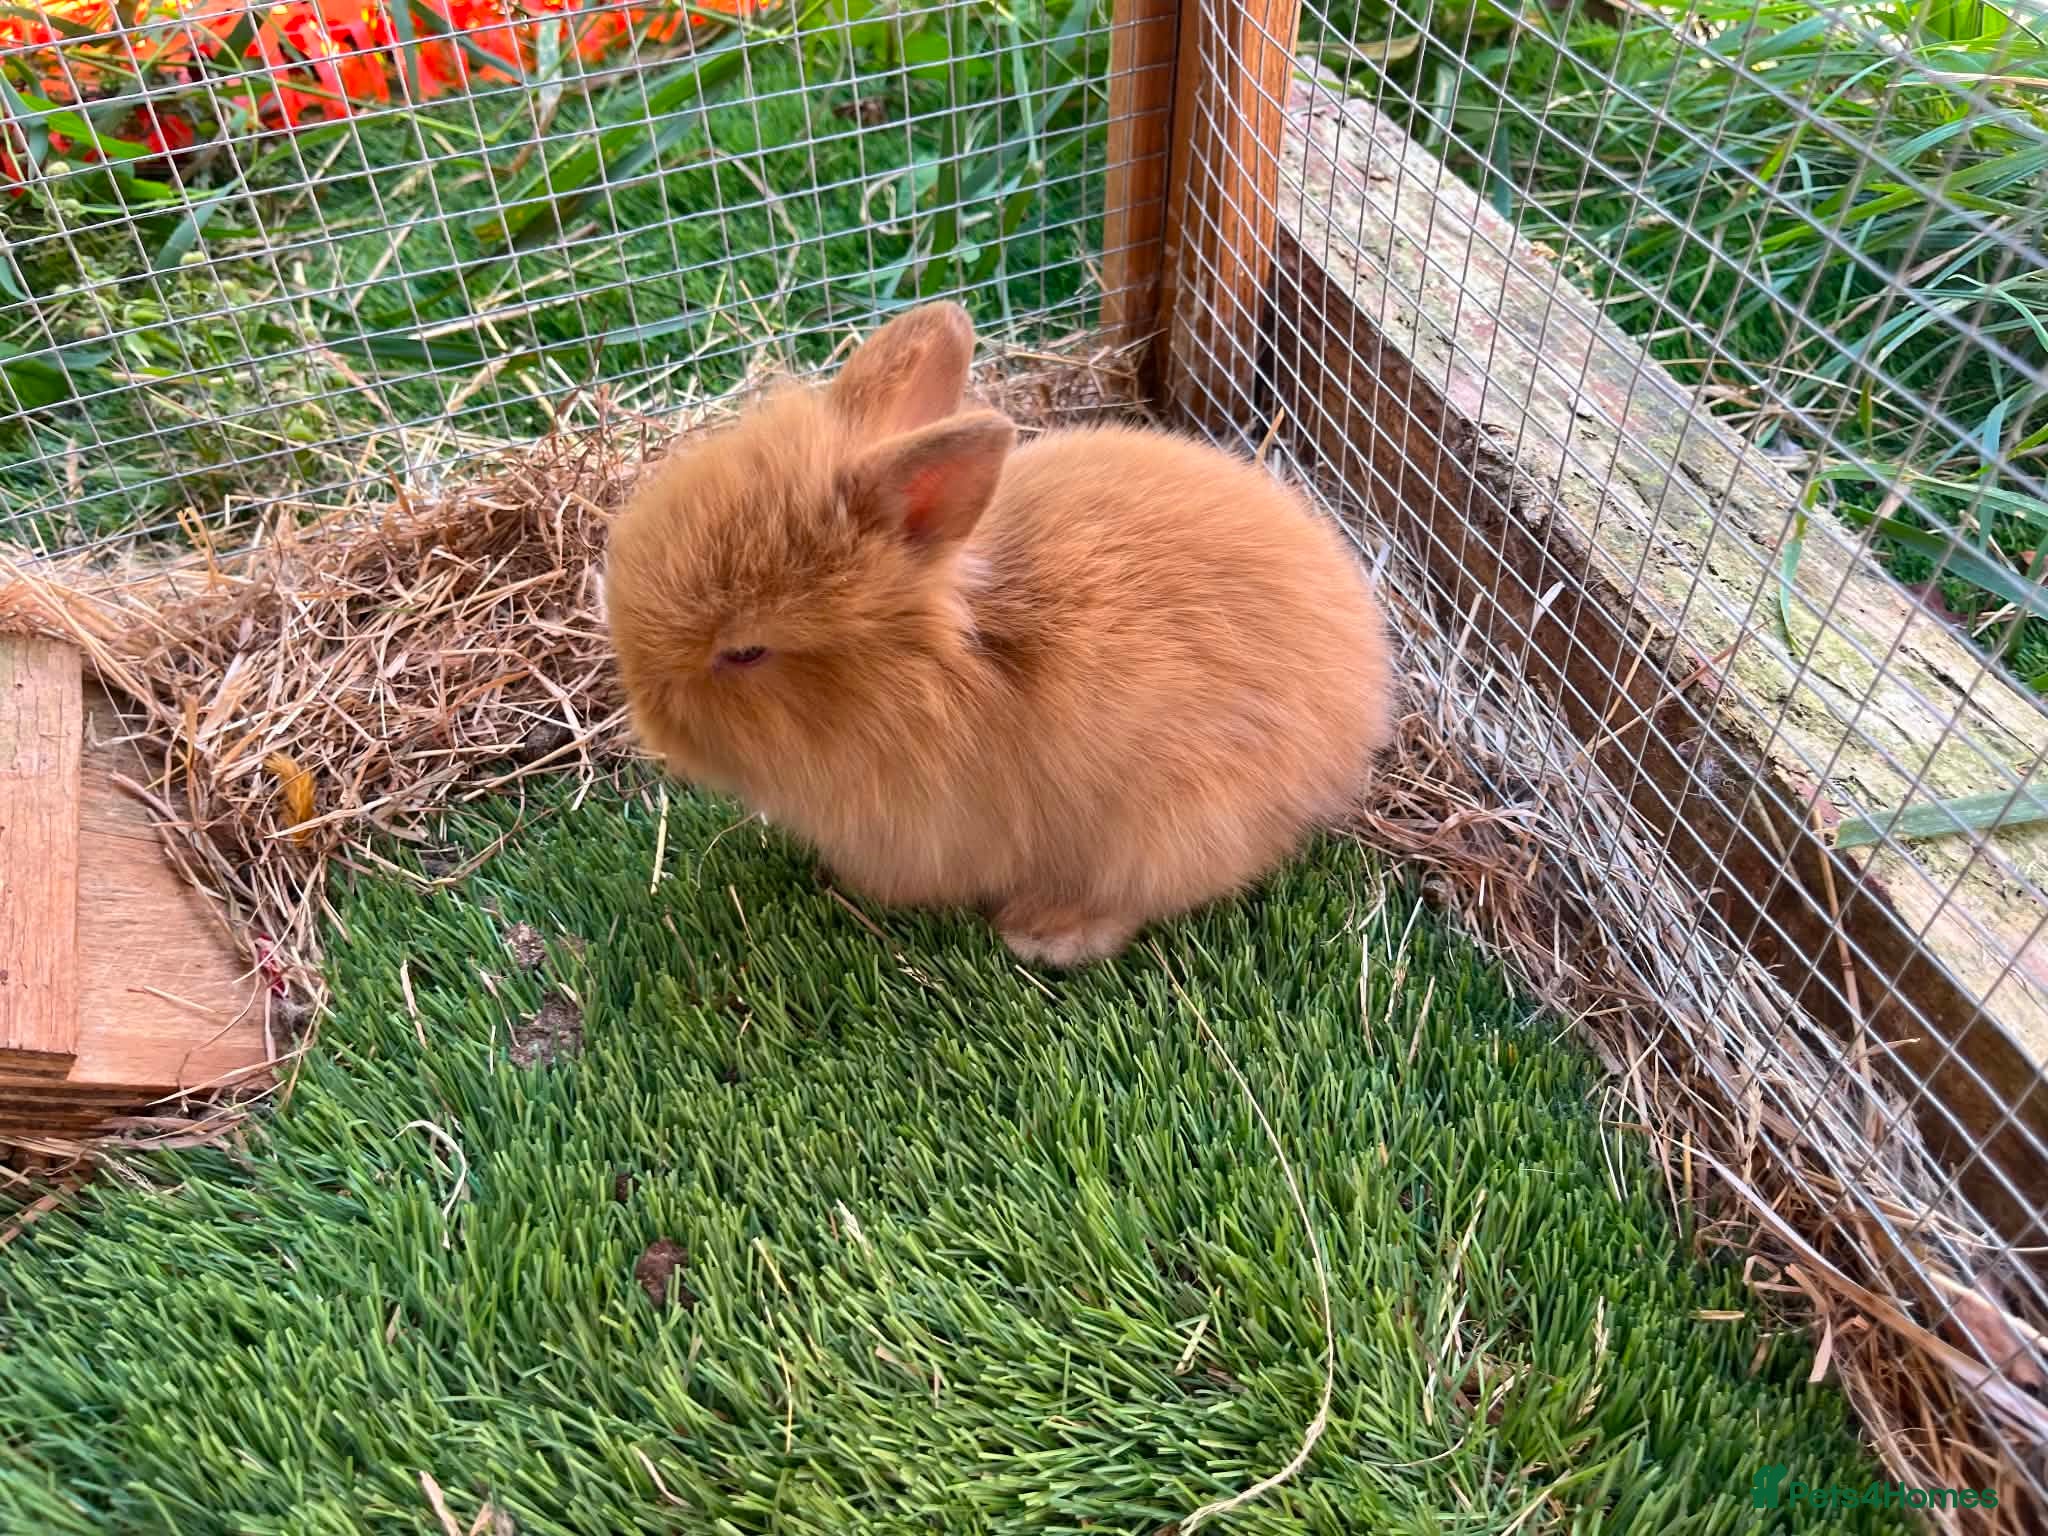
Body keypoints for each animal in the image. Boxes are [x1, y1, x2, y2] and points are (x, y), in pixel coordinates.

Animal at [603, 301, 1395, 969]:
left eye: (744, 651)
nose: (652, 728)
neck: (925, 674)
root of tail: (1361, 712)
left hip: (1175, 823)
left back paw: (1045, 935)